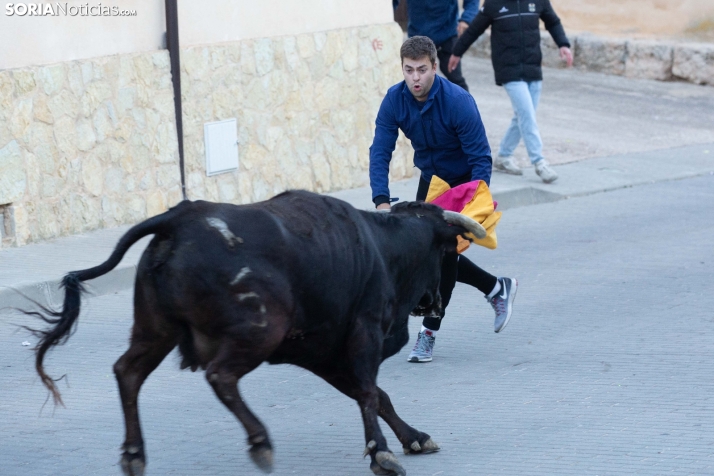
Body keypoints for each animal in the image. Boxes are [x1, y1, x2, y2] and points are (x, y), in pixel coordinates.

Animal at [27, 190, 484, 476]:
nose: (434, 304)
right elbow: (371, 393)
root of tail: (179, 217)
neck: (381, 248)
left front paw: (414, 438)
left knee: (128, 372)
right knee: (220, 375)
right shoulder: (363, 334)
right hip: (259, 330)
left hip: (155, 330)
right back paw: (260, 441)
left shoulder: (322, 353)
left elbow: (372, 394)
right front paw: (383, 454)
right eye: (448, 250)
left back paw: (135, 454)